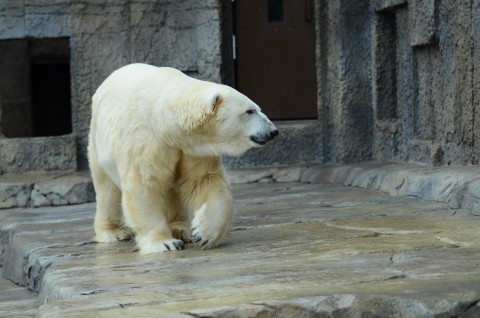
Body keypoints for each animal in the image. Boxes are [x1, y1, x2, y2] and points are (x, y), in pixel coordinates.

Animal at [88, 63, 280, 255]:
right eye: (249, 111)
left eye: (257, 108)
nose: (273, 131)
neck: (166, 122)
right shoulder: (145, 141)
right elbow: (145, 184)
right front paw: (164, 243)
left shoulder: (193, 149)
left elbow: (204, 180)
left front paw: (203, 234)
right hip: (98, 141)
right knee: (106, 190)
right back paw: (113, 232)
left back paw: (182, 230)